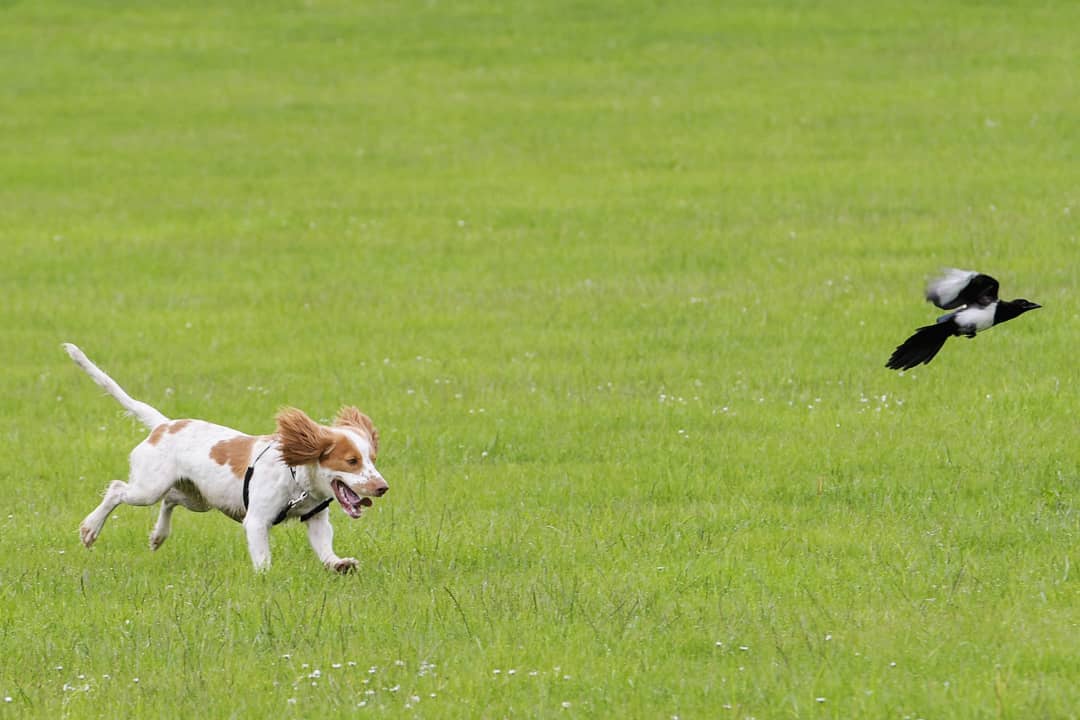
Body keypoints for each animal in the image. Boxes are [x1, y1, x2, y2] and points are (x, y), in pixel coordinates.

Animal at [61, 343, 386, 574]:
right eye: (352, 461)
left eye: (372, 458)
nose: (382, 487)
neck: (295, 477)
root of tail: (163, 425)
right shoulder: (257, 520)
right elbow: (263, 557)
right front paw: (266, 578)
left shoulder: (316, 518)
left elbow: (325, 548)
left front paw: (340, 564)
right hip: (148, 488)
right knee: (118, 489)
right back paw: (90, 529)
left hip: (199, 498)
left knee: (170, 500)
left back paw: (158, 536)